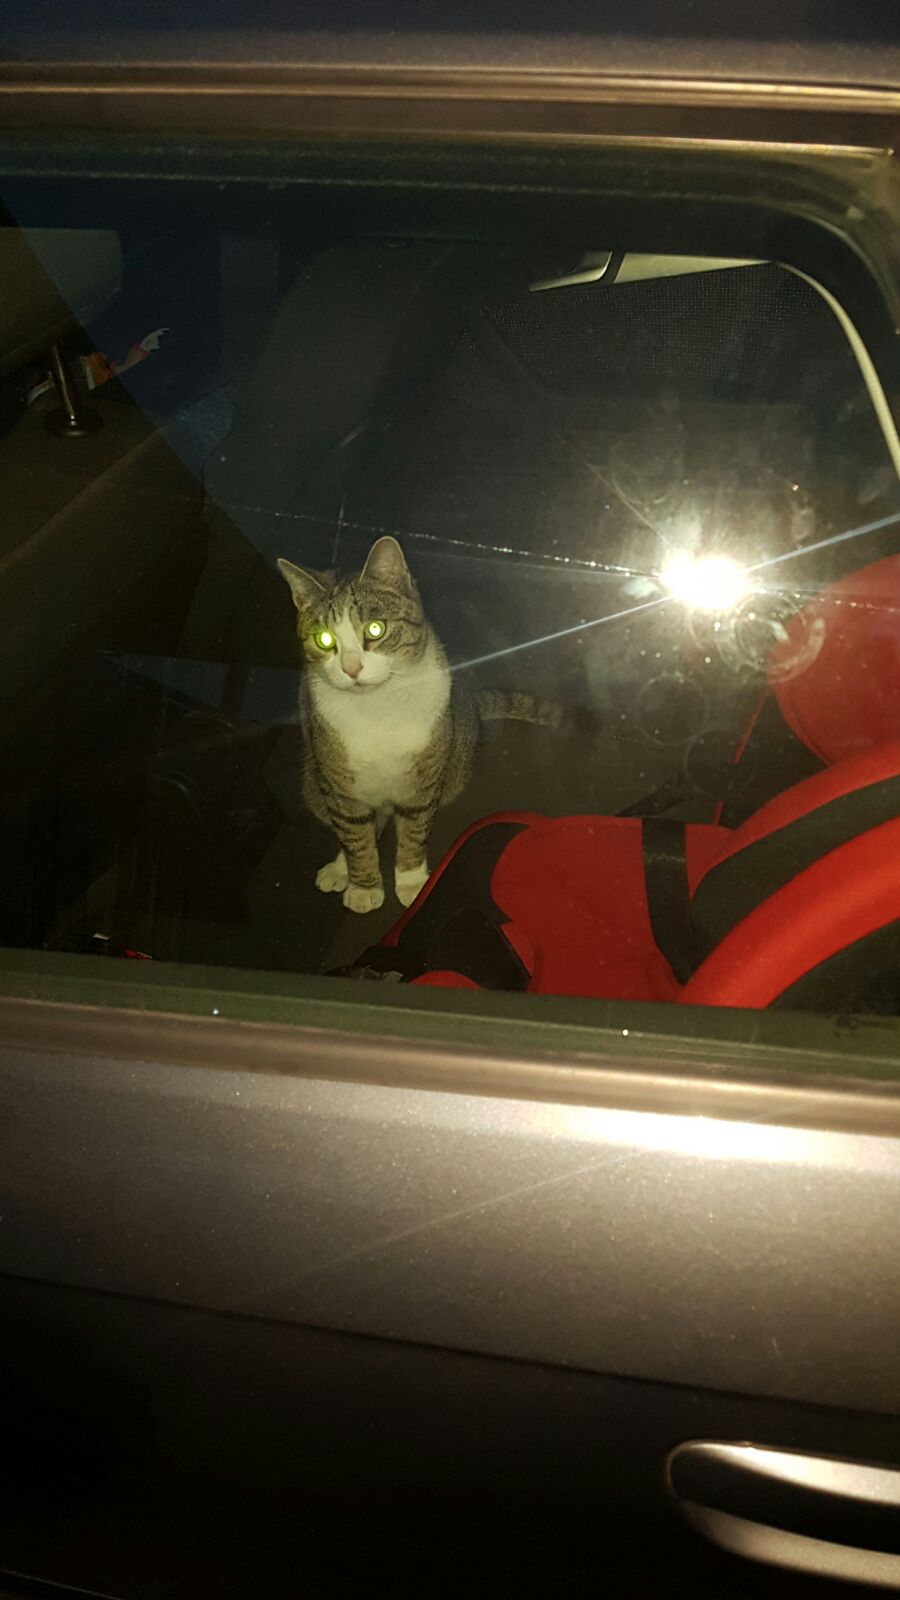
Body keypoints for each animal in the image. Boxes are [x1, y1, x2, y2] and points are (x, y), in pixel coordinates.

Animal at [277, 535, 569, 914]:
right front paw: (363, 883)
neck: (378, 705)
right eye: (324, 639)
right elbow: (355, 835)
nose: (351, 668)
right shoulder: (338, 782)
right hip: (315, 783)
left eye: (375, 629)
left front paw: (412, 881)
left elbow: (414, 828)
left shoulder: (424, 776)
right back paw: (340, 867)